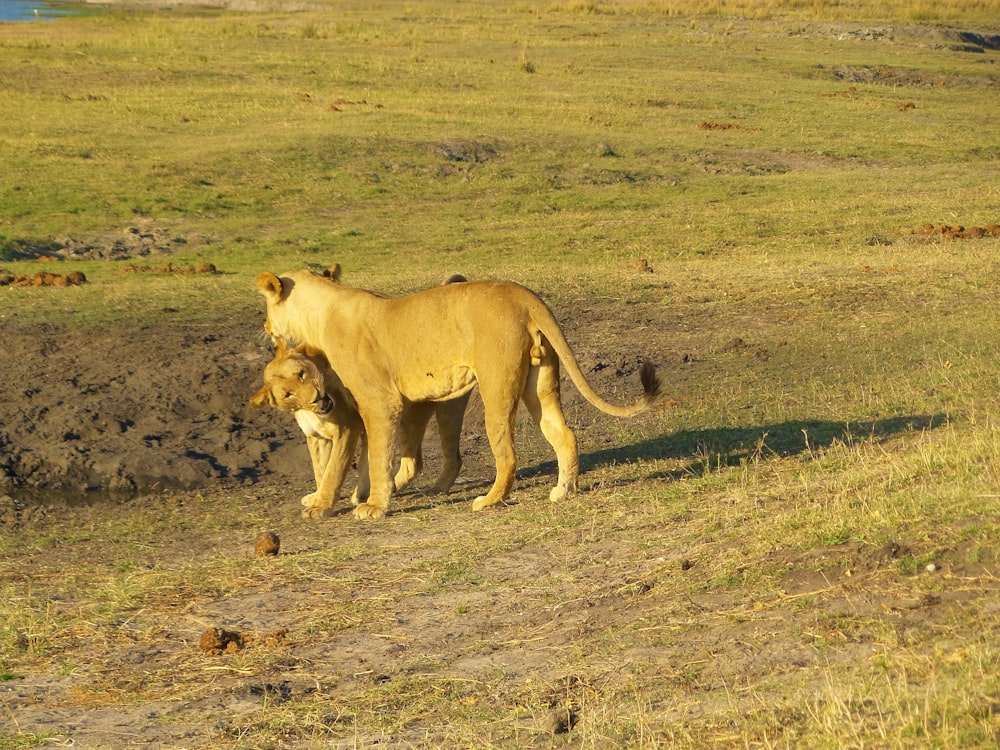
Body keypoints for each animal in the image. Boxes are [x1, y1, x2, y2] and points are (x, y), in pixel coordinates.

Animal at [250, 340, 468, 516]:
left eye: (301, 374)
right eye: (288, 394)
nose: (316, 397)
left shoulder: (347, 429)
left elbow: (333, 471)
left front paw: (321, 507)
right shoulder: (317, 438)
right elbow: (321, 470)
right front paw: (318, 498)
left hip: (438, 411)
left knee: (445, 459)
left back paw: (430, 489)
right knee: (411, 463)